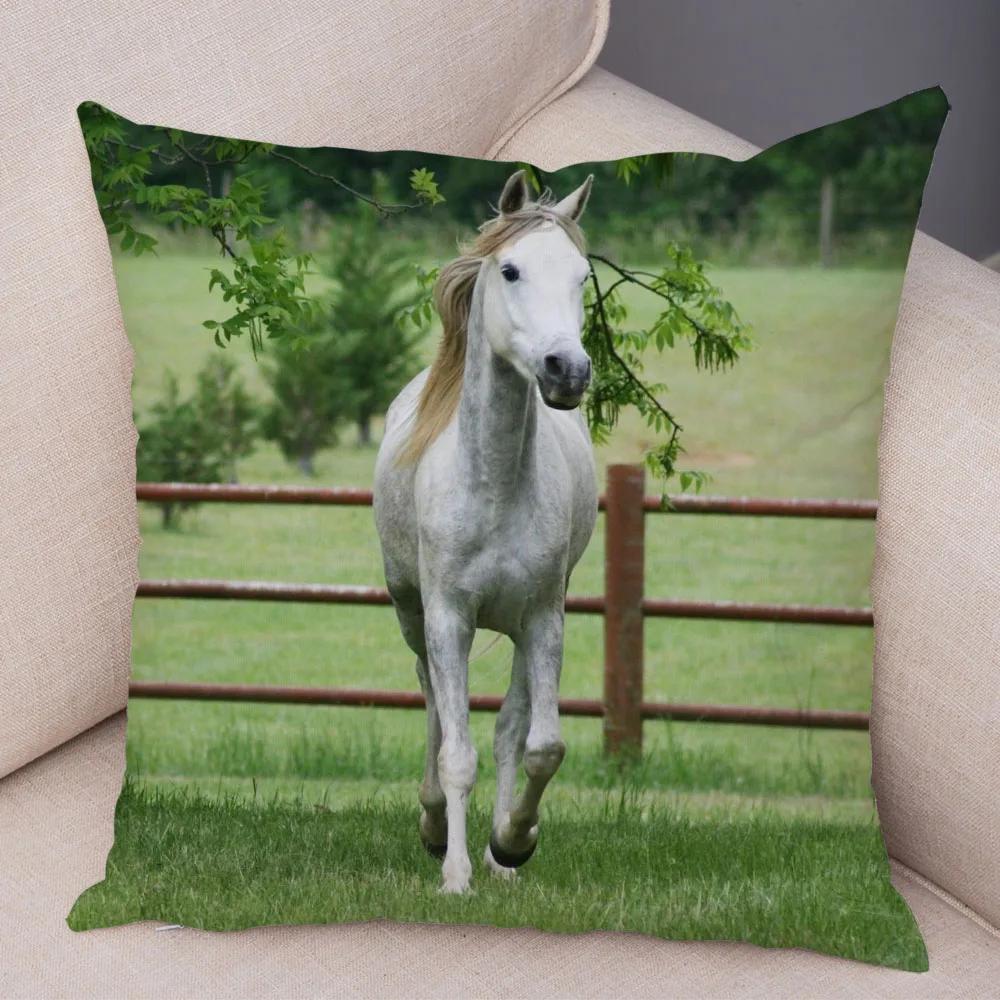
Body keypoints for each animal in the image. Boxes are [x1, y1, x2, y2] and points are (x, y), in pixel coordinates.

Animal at [373, 170, 597, 894]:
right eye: (511, 269)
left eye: (583, 276)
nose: (567, 370)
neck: (494, 486)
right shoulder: (448, 618)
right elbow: (456, 751)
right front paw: (455, 873)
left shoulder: (544, 618)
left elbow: (539, 746)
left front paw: (512, 843)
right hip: (412, 615)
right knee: (434, 712)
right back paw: (433, 825)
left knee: (507, 730)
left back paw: (500, 858)